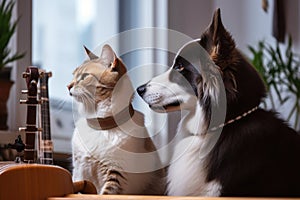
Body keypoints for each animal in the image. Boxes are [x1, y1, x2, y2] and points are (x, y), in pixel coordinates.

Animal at [67, 44, 165, 195]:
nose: (68, 86)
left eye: (84, 76)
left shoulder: (116, 174)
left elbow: (105, 193)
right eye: (73, 75)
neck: (100, 126)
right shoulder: (79, 171)